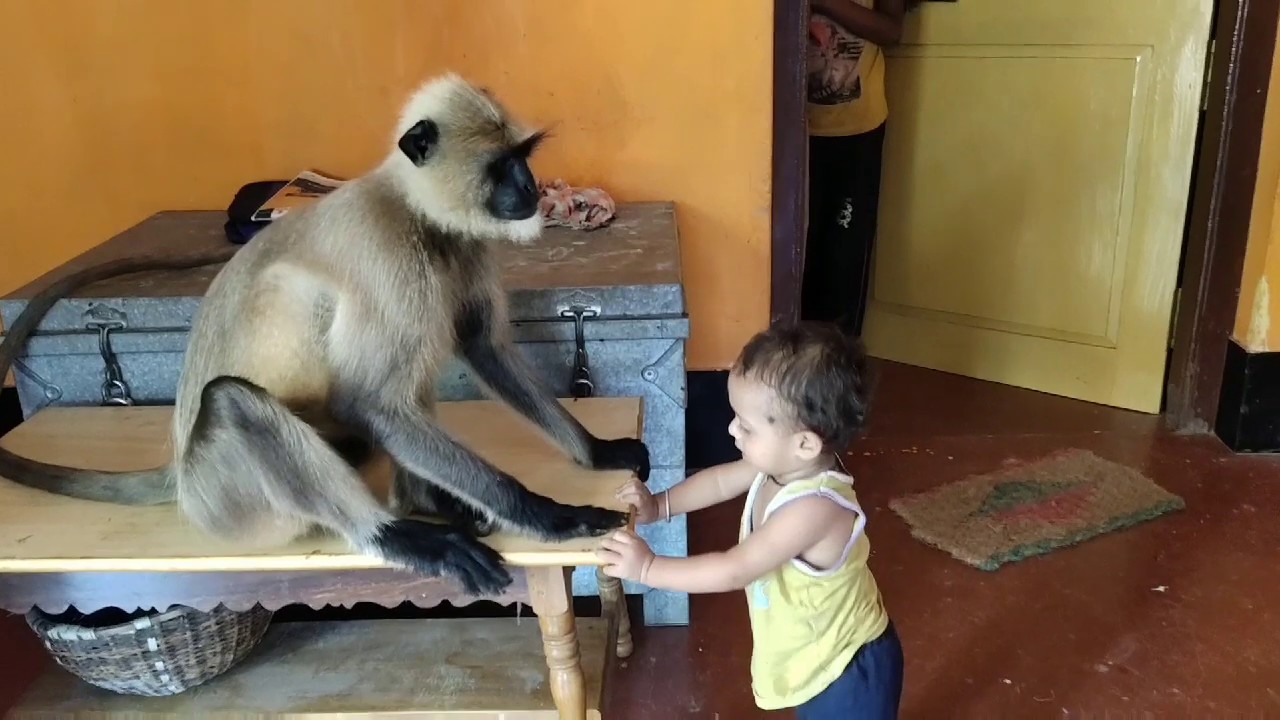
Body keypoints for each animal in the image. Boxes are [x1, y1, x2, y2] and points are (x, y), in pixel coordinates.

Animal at [0, 75, 645, 597]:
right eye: (501, 165)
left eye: (523, 157)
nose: (531, 187)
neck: (417, 213)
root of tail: (181, 472)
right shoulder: (391, 256)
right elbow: (365, 399)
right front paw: (548, 514)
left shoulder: (458, 246)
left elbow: (483, 348)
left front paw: (598, 451)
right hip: (226, 499)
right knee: (235, 400)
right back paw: (401, 533)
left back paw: (427, 503)